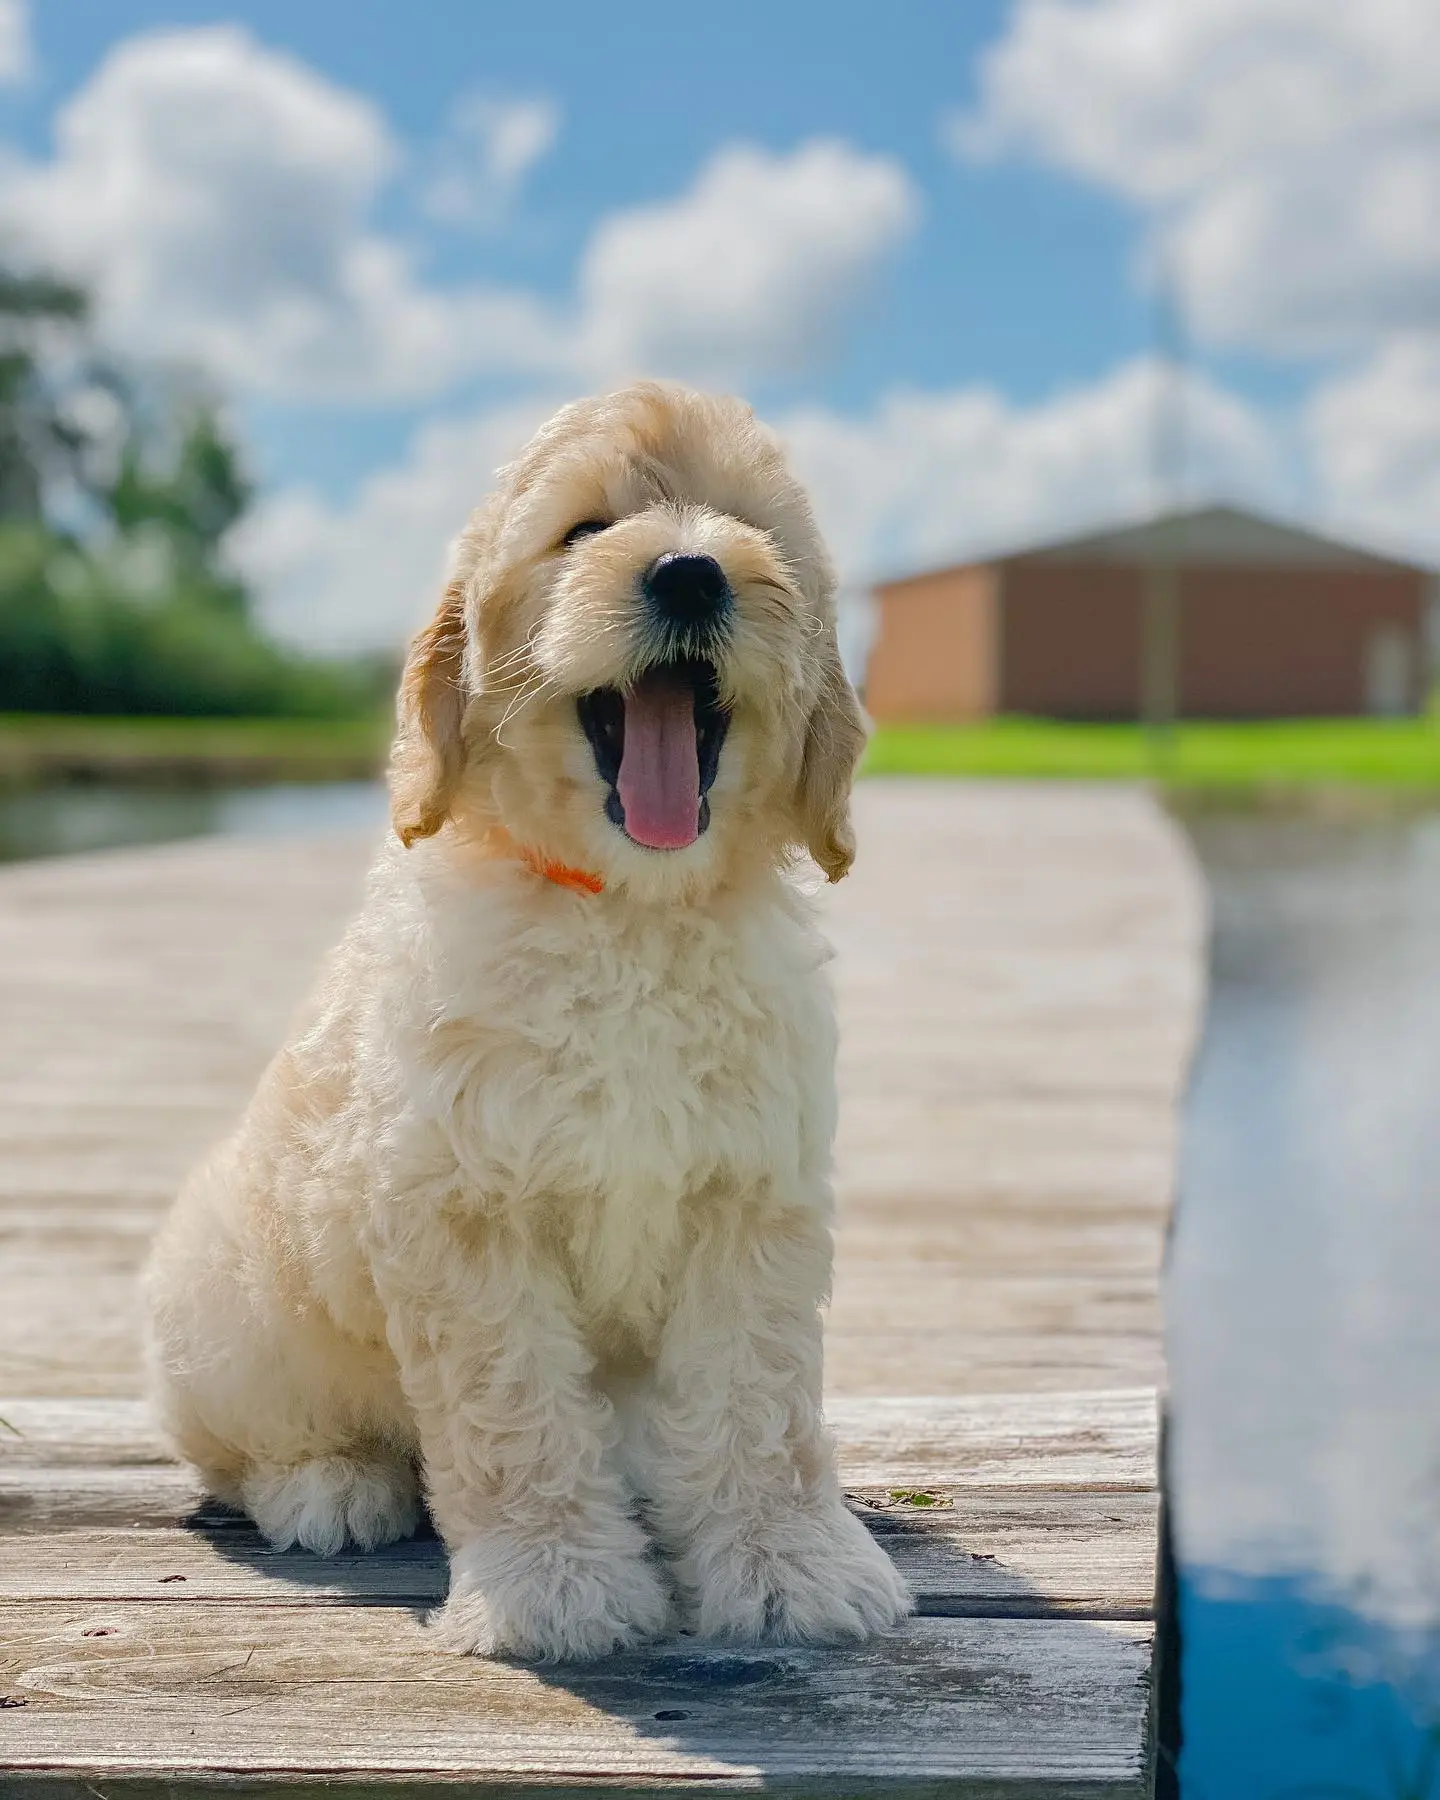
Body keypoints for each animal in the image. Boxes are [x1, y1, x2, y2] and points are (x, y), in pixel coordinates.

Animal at [145, 379, 910, 1656]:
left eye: (748, 529)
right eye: (584, 531)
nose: (692, 575)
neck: (631, 913)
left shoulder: (753, 1197)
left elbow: (757, 1398)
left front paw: (788, 1562)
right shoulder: (465, 1210)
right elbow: (515, 1410)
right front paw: (555, 1585)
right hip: (220, 1310)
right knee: (243, 1447)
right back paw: (329, 1485)